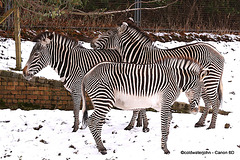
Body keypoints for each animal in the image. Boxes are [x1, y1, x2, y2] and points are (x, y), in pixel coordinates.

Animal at [80, 57, 208, 154]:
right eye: (201, 90)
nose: (196, 111)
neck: (176, 80)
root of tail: (87, 74)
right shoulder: (166, 101)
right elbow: (164, 123)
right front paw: (165, 149)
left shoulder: (159, 105)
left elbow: (169, 119)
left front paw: (164, 142)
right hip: (104, 99)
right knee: (92, 121)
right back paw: (102, 148)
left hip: (101, 101)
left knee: (96, 122)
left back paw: (99, 146)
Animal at [91, 19, 225, 130]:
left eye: (108, 33)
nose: (91, 44)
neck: (140, 57)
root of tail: (217, 52)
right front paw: (140, 123)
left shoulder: (142, 83)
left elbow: (138, 107)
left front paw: (136, 125)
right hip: (202, 84)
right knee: (208, 102)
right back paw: (200, 123)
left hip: (210, 81)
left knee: (215, 102)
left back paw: (212, 126)